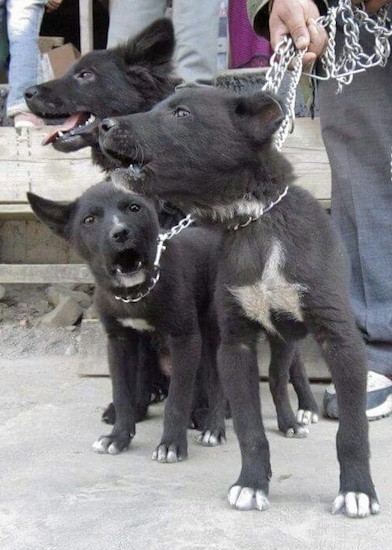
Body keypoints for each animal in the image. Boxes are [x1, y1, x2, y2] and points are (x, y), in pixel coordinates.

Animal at [28, 183, 227, 460]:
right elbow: (122, 392)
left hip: (211, 337)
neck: (136, 293)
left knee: (213, 384)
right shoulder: (118, 341)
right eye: (89, 220)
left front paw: (172, 443)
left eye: (135, 208)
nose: (120, 233)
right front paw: (119, 436)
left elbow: (177, 399)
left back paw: (213, 426)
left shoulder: (184, 339)